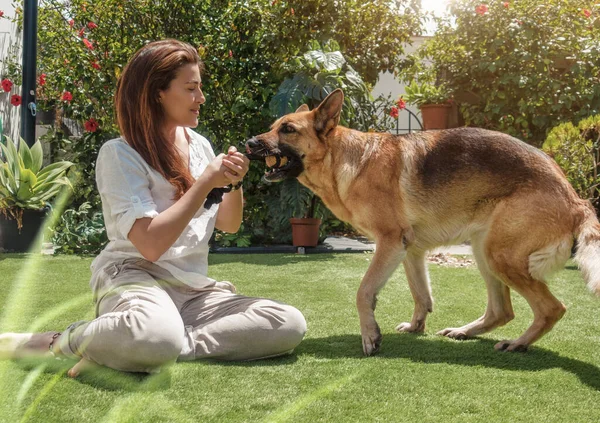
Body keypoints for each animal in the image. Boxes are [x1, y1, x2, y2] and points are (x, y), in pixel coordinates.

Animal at [245, 90, 600, 358]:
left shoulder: (389, 243)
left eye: (288, 129)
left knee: (552, 308)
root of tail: (575, 198)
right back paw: (465, 331)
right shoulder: (410, 250)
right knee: (503, 311)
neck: (347, 159)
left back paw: (518, 343)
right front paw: (416, 327)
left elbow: (364, 292)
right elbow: (421, 295)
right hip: (484, 252)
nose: (248, 142)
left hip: (499, 256)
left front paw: (370, 336)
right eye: (273, 126)